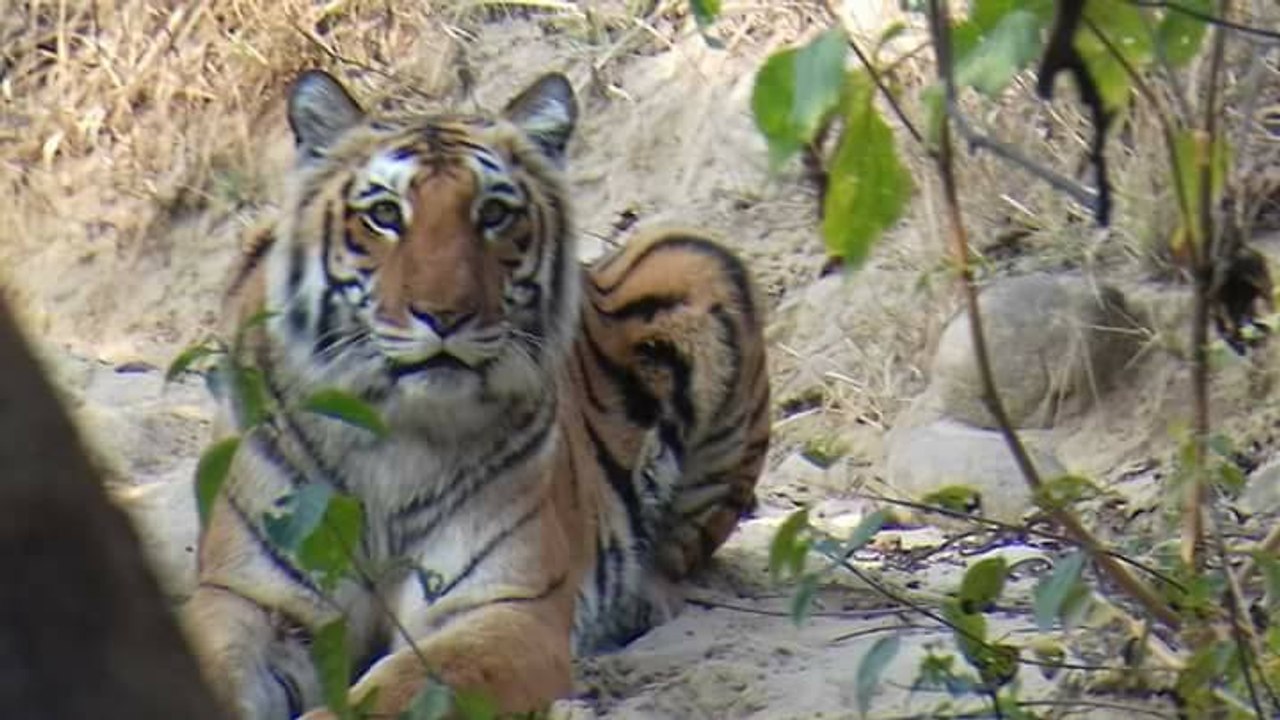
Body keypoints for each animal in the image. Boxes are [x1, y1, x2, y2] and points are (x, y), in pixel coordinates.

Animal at [184, 68, 770, 719]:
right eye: (384, 214)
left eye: (493, 214)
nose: (445, 315)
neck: (394, 433)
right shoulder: (248, 597)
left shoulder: (504, 609)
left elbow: (401, 690)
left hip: (694, 256)